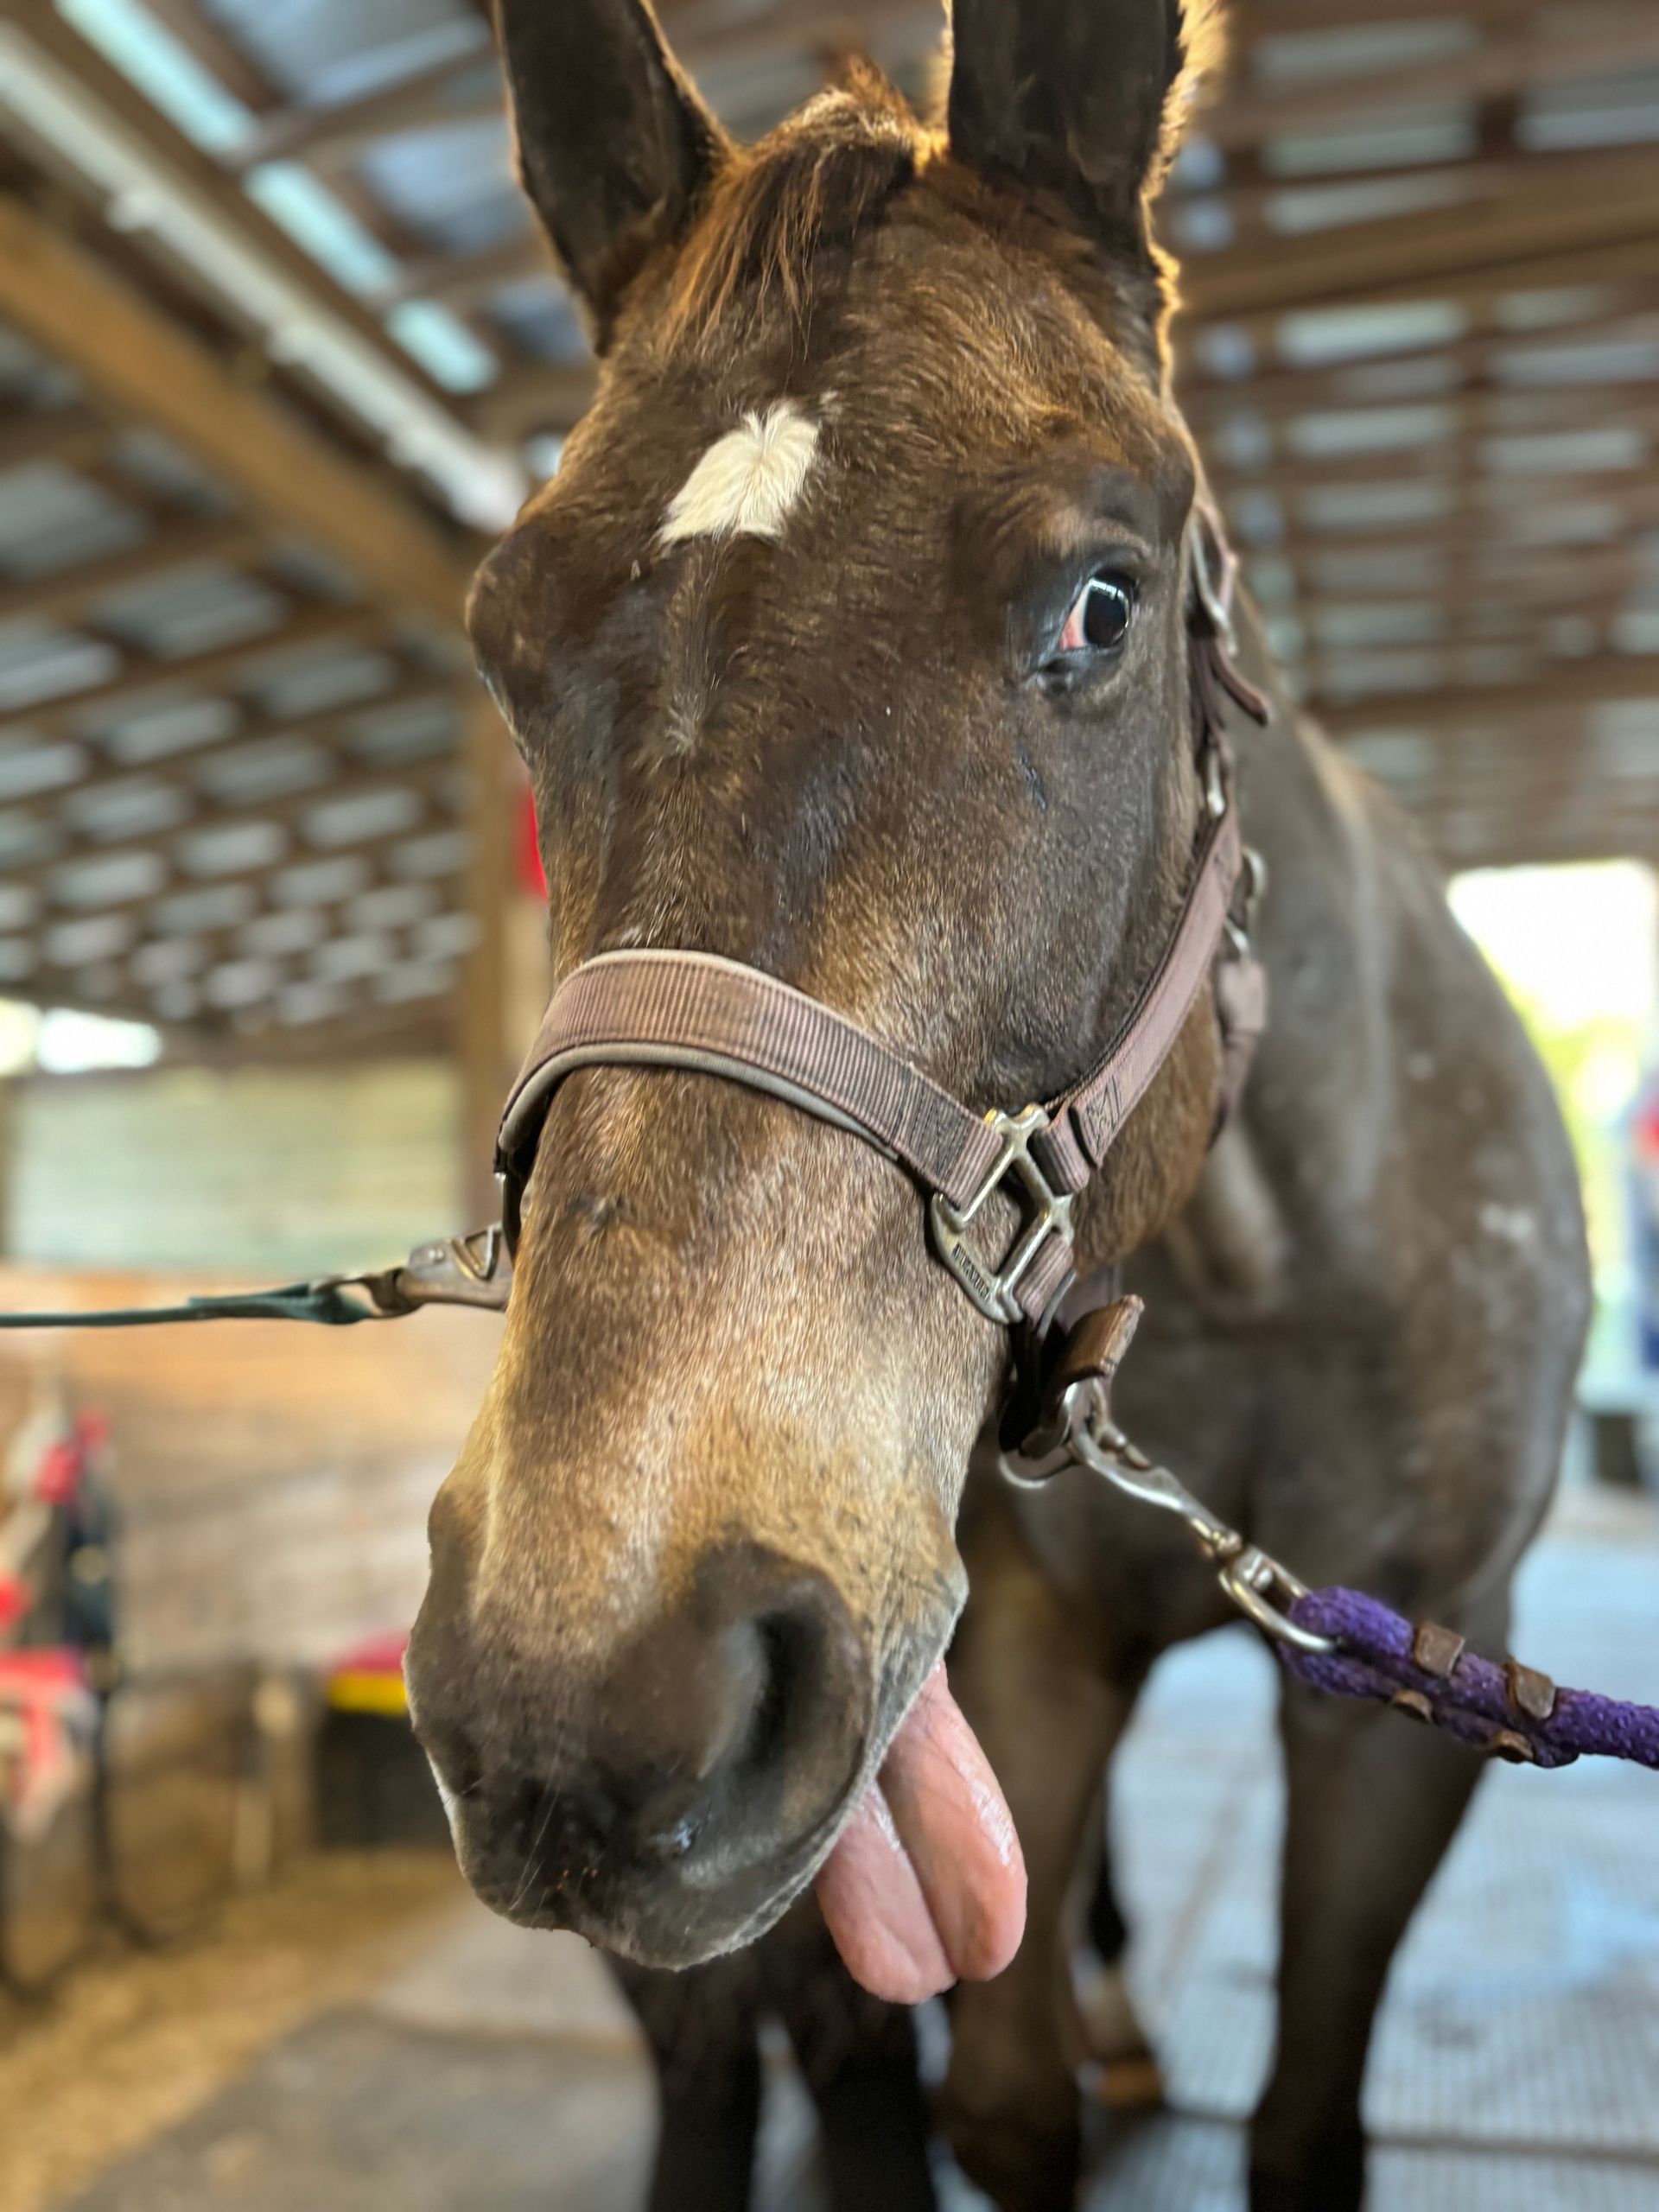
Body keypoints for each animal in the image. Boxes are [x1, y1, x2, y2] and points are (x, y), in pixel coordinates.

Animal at [405, 4, 1590, 2206]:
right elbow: (999, 2095)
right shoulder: (1018, 1656)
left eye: (1101, 602)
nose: (586, 1688)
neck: (1256, 1266)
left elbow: (1301, 2125)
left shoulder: (1406, 1685)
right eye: (505, 645)